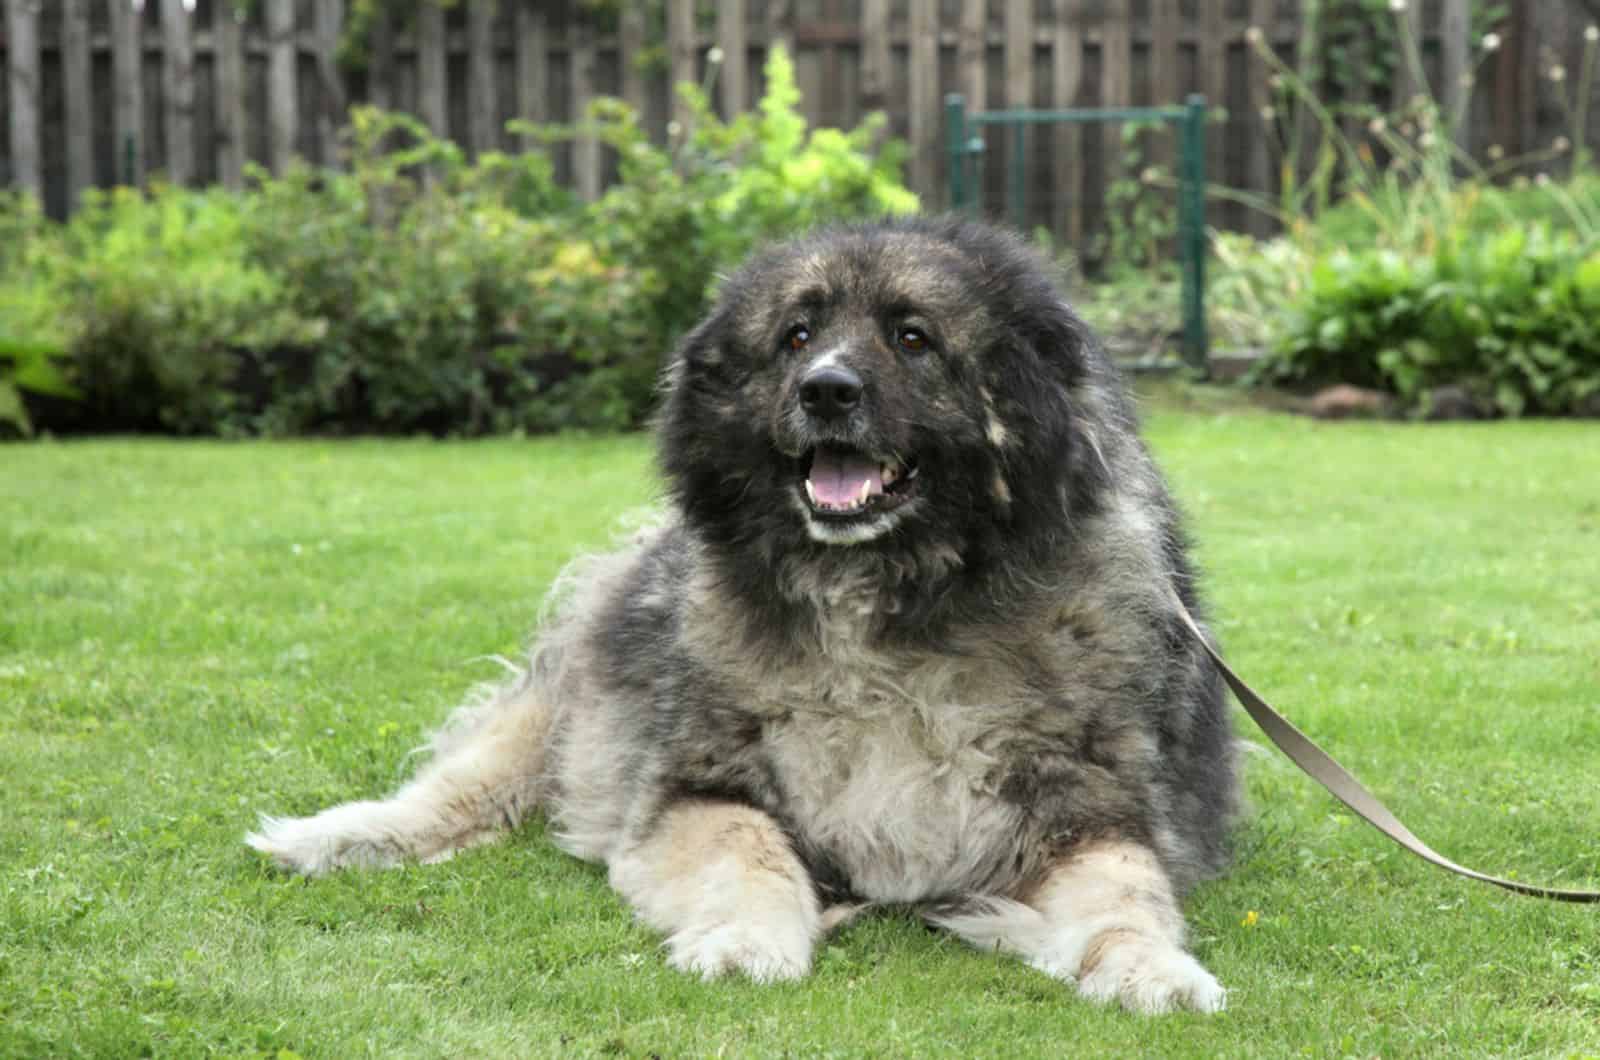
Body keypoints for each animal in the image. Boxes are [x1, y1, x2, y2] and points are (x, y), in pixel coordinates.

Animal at [249, 214, 1241, 1011]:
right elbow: (751, 857)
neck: (886, 608)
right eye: (796, 336)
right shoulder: (698, 788)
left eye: (913, 337)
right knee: (456, 790)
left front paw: (1151, 969)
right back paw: (330, 838)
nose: (827, 390)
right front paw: (746, 942)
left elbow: (1127, 898)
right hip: (565, 715)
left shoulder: (1093, 820)